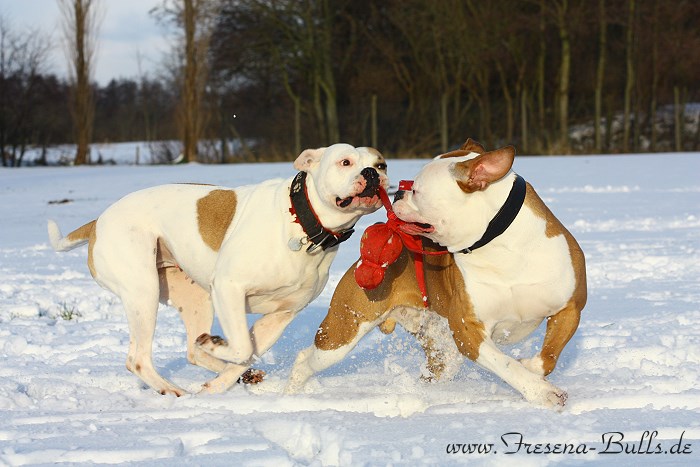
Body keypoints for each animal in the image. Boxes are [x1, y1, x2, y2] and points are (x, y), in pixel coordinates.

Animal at [47, 143, 388, 394]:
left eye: (381, 164)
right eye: (345, 162)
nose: (372, 173)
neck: (303, 224)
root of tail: (98, 222)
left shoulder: (282, 314)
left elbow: (246, 351)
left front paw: (219, 382)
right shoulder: (229, 288)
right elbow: (241, 347)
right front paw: (220, 357)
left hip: (195, 296)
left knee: (193, 350)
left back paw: (229, 370)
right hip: (144, 290)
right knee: (138, 359)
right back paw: (175, 391)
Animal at [288, 140, 588, 410]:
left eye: (417, 190)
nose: (397, 194)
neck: (499, 242)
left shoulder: (570, 308)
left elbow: (550, 353)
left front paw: (532, 369)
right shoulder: (468, 331)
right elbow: (506, 365)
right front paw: (544, 393)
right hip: (344, 329)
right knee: (306, 357)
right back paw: (291, 391)